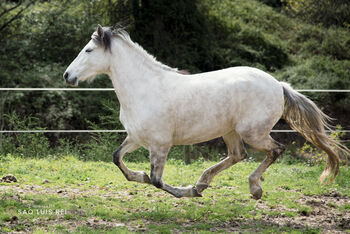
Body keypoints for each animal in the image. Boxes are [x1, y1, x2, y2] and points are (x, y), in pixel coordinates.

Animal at [64, 24, 348, 199]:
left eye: (88, 50)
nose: (68, 75)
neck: (145, 88)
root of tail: (278, 84)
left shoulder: (160, 145)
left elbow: (156, 180)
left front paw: (187, 192)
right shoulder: (136, 138)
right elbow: (118, 160)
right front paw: (141, 175)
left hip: (253, 132)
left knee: (276, 150)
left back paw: (253, 188)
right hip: (231, 131)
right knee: (238, 155)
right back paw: (204, 182)